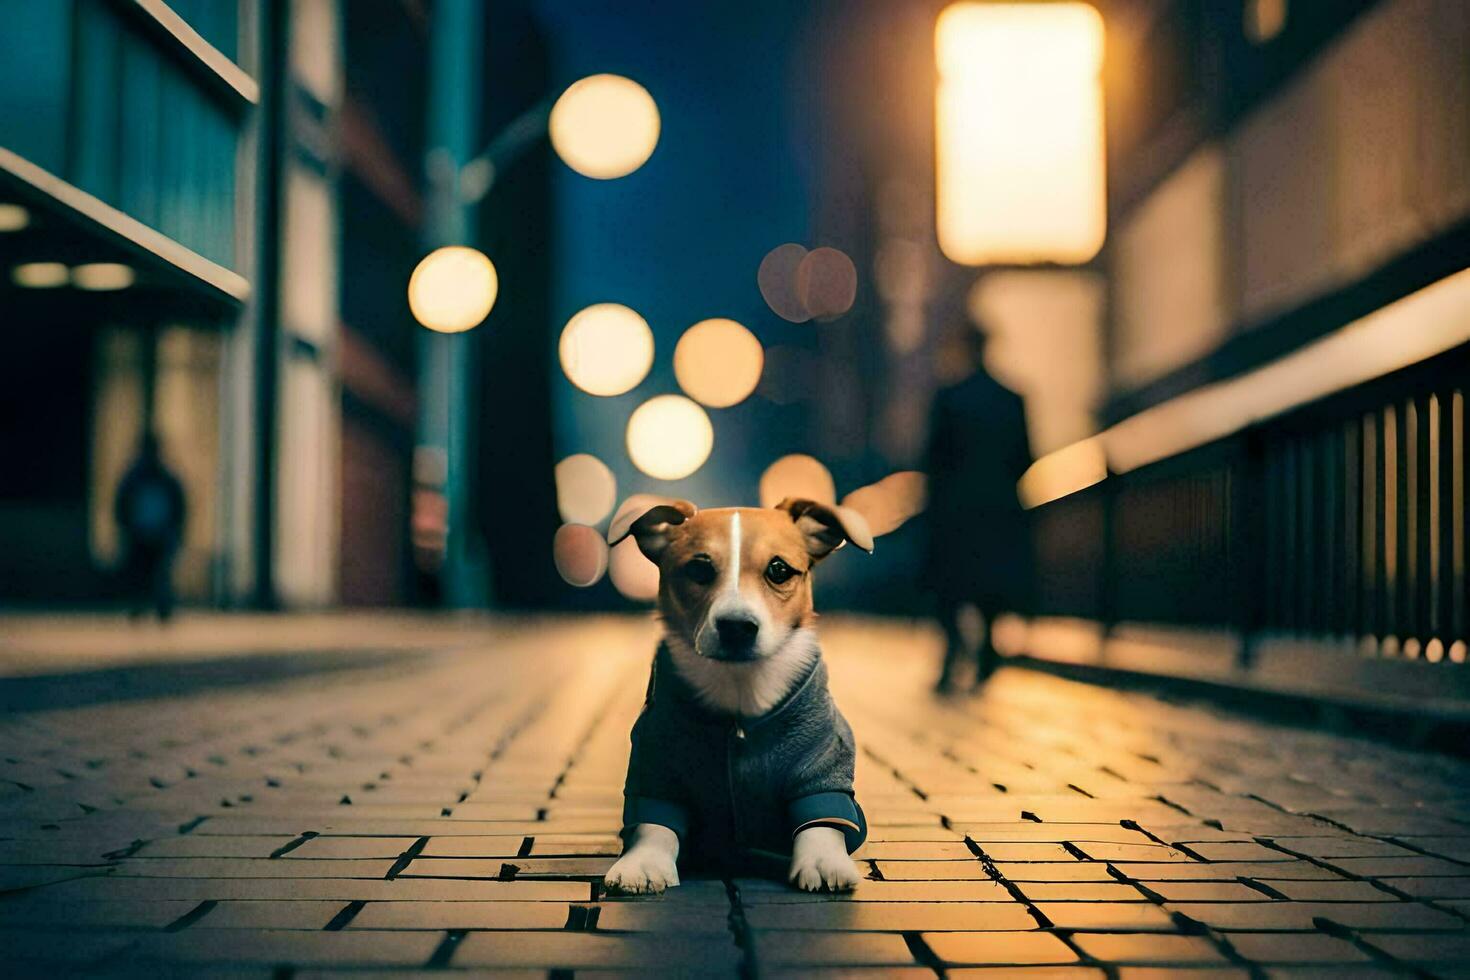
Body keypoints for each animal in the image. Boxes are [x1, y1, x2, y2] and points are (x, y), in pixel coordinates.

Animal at [599, 493, 870, 893]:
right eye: (698, 570)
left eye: (779, 570)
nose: (737, 627)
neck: (740, 688)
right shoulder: (656, 765)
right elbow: (654, 823)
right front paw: (644, 862)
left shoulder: (821, 762)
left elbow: (822, 818)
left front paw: (823, 860)